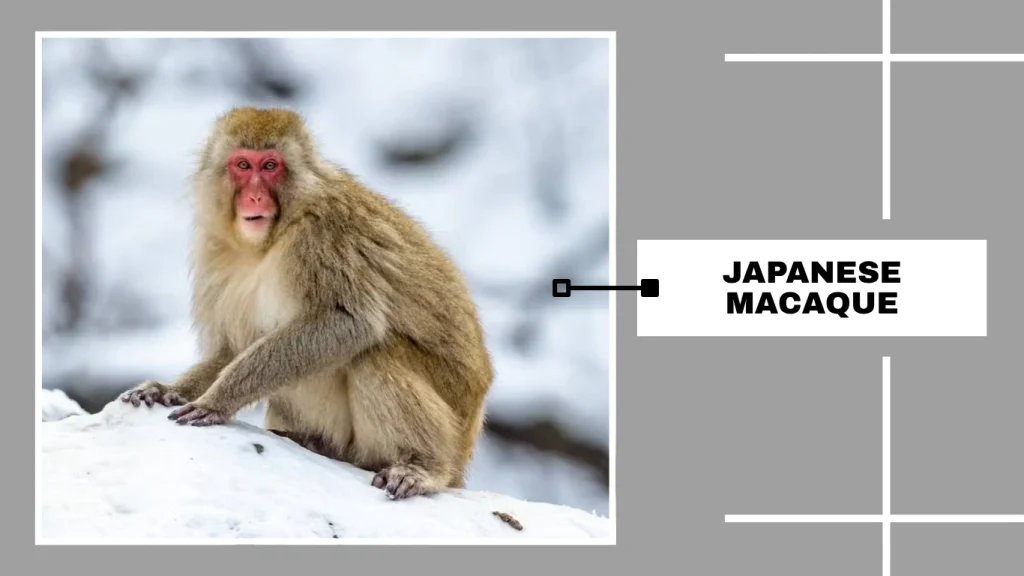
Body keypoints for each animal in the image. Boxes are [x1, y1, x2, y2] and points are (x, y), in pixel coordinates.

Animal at [120, 107, 494, 499]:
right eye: (243, 165)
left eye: (270, 165)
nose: (255, 197)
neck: (268, 241)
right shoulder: (214, 249)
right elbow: (232, 348)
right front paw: (168, 391)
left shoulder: (322, 235)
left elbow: (346, 322)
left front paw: (216, 400)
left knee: (376, 353)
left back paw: (423, 467)